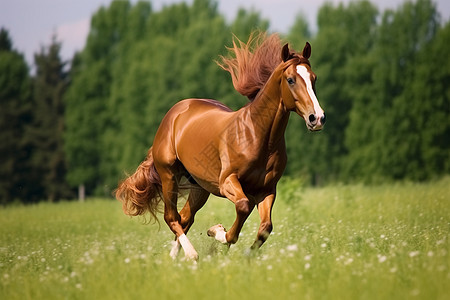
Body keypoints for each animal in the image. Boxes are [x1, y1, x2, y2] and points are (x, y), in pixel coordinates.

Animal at [116, 32, 326, 260]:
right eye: (291, 80)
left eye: (314, 78)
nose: (317, 118)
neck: (257, 136)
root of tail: (175, 112)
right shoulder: (227, 182)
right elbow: (242, 208)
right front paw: (216, 232)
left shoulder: (266, 190)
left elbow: (265, 227)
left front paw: (243, 254)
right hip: (168, 175)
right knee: (172, 218)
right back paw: (192, 255)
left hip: (199, 187)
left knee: (185, 218)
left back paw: (174, 260)